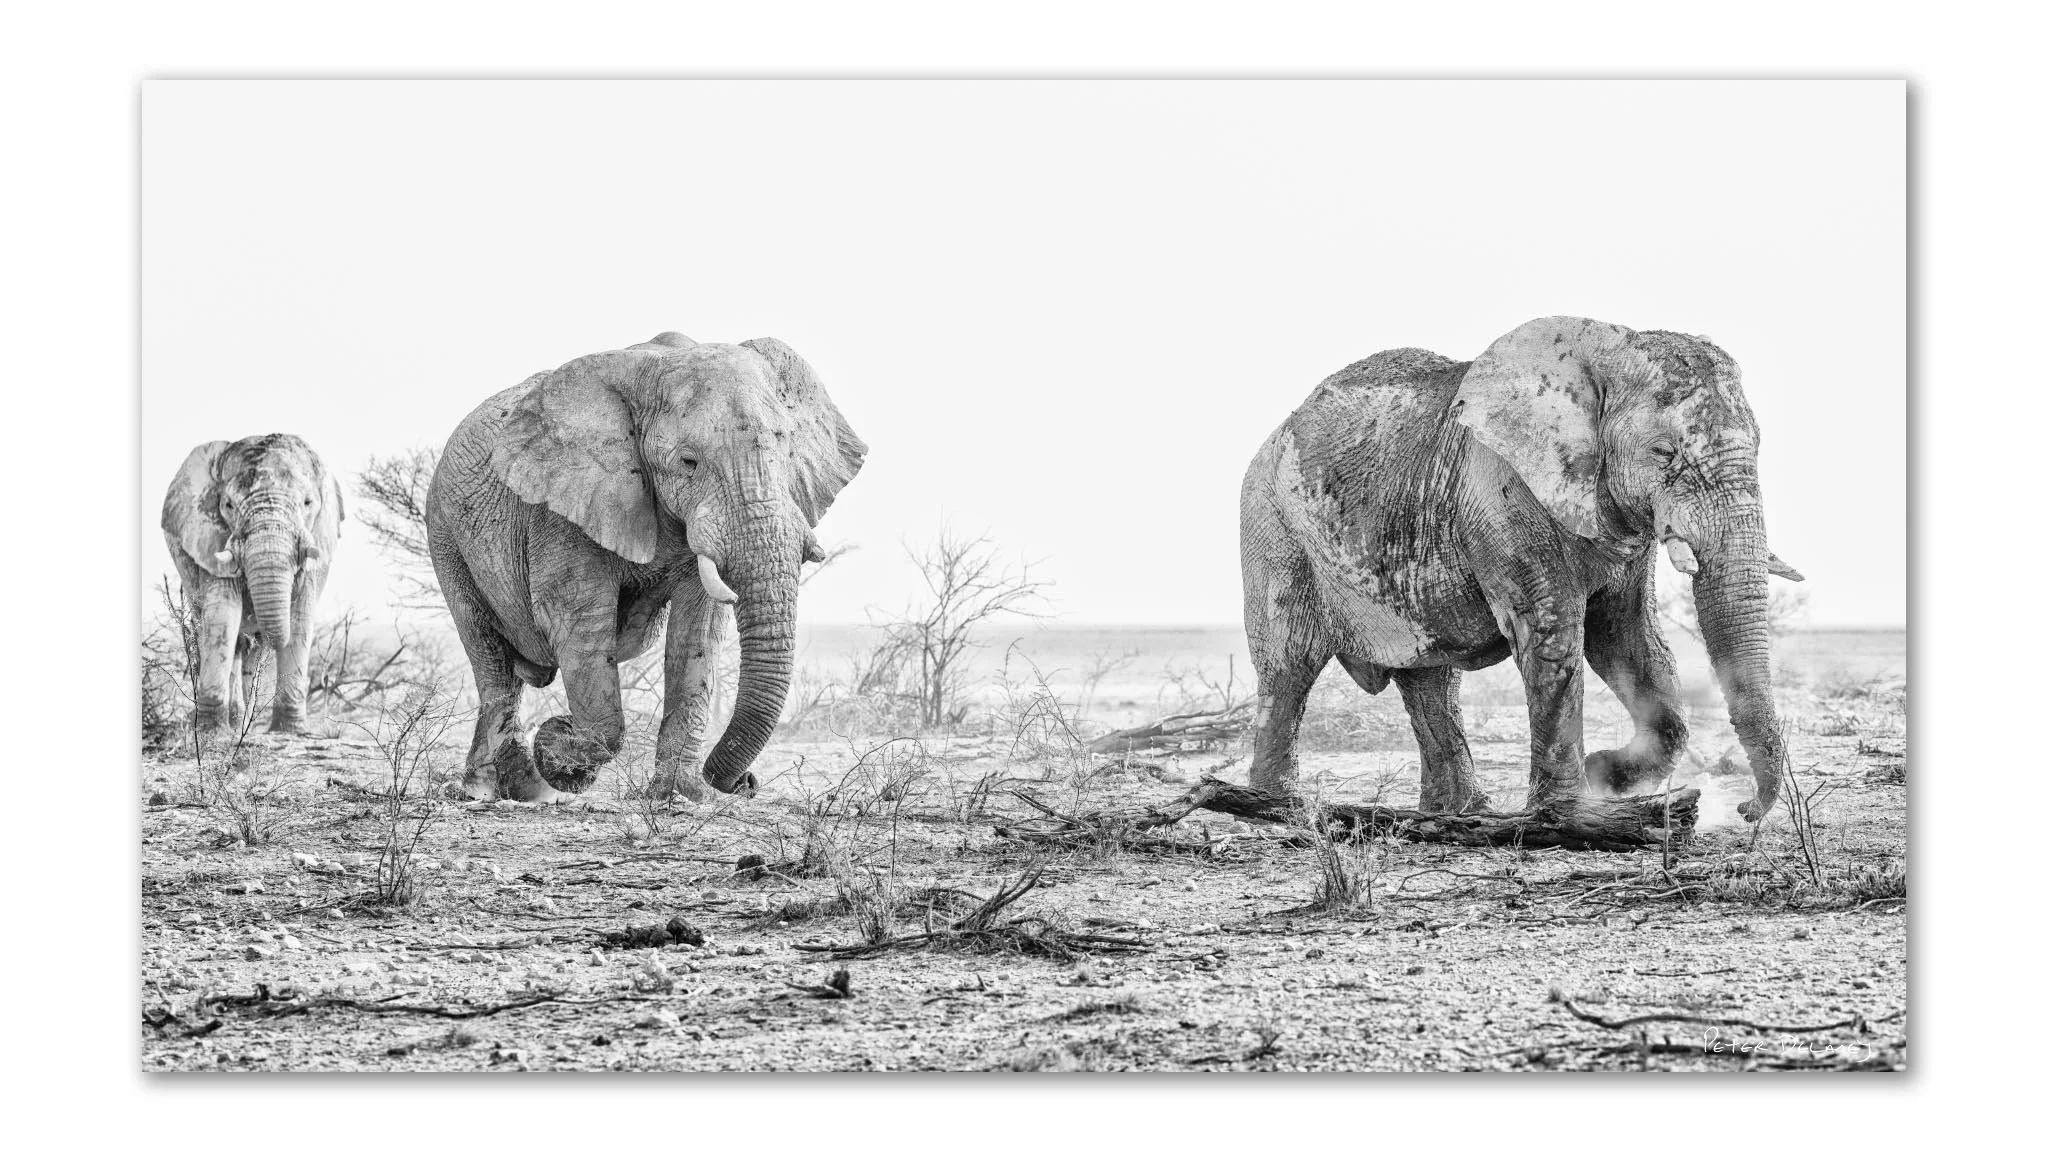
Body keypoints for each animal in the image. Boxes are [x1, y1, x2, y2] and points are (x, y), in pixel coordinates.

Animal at [161, 434, 346, 735]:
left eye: (308, 503)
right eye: (228, 506)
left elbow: (300, 616)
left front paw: (290, 731)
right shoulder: (212, 540)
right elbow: (224, 613)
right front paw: (212, 732)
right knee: (223, 635)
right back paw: (235, 724)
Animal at [427, 332, 865, 804]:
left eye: (787, 450)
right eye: (689, 462)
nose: (745, 783)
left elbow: (697, 631)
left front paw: (682, 796)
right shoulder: (560, 509)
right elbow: (580, 621)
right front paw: (561, 751)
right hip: (446, 537)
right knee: (490, 658)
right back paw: (504, 787)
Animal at [1239, 317, 1804, 820]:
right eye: (1664, 453)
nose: (1746, 808)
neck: (1605, 351)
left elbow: (1628, 638)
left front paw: (1602, 774)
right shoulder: (1503, 493)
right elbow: (1555, 638)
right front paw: (1566, 813)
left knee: (1431, 683)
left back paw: (1458, 813)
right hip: (1272, 525)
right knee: (1288, 667)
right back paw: (1276, 810)